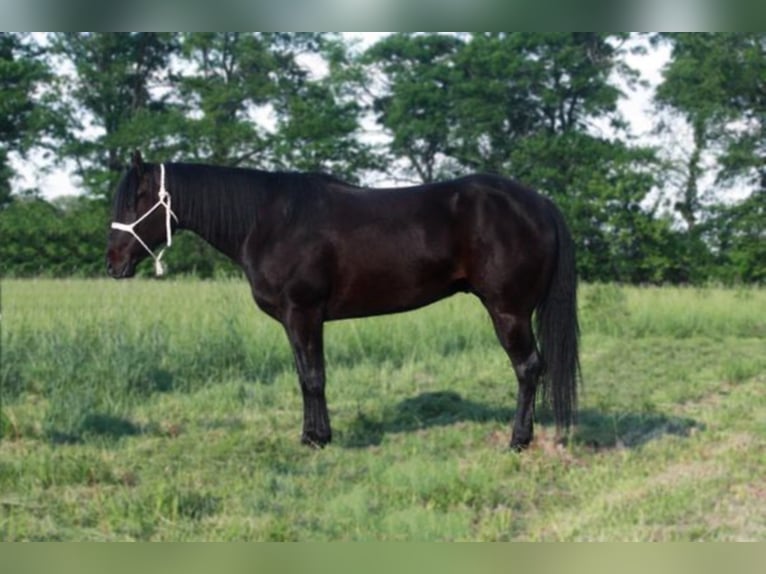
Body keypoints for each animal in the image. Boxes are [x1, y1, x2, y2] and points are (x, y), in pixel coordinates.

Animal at [105, 154, 580, 454]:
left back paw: (517, 442)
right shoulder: (295, 320)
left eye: (135, 200)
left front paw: (318, 439)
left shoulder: (304, 313)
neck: (268, 221)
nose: (113, 263)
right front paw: (311, 435)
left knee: (528, 369)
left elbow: (314, 377)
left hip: (509, 312)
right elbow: (304, 377)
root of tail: (539, 203)